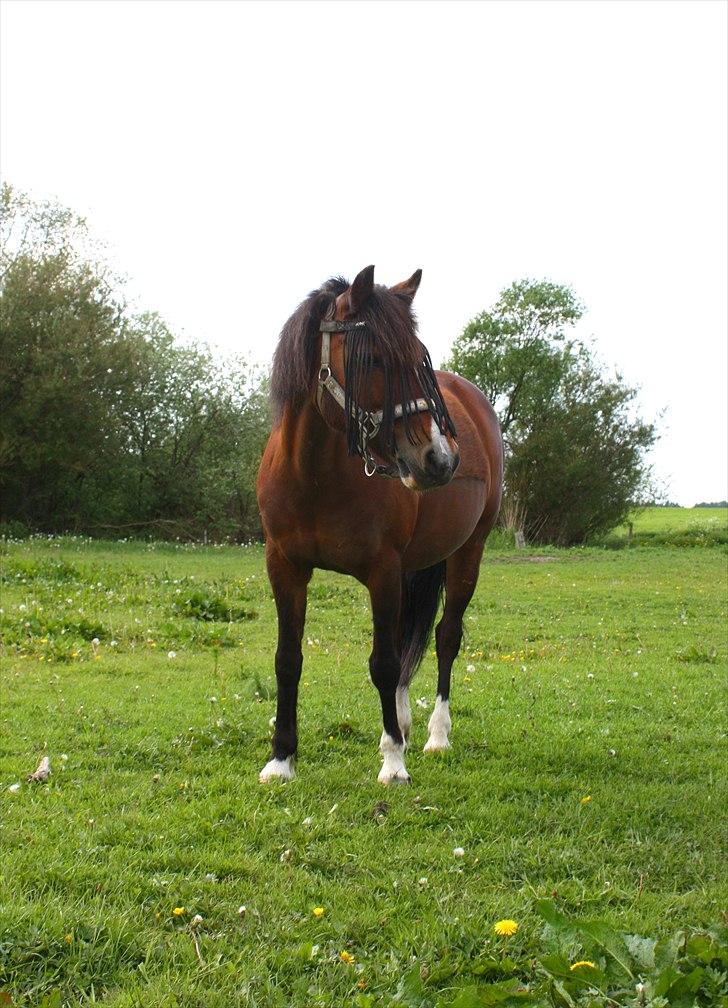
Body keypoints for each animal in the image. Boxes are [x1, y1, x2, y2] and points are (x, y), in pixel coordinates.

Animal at [256, 265, 503, 784]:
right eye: (374, 361)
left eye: (420, 361)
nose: (440, 459)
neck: (314, 475)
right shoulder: (285, 567)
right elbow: (288, 660)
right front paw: (281, 759)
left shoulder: (383, 572)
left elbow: (384, 663)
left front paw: (393, 762)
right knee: (410, 637)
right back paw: (405, 723)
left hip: (467, 553)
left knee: (445, 637)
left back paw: (434, 736)